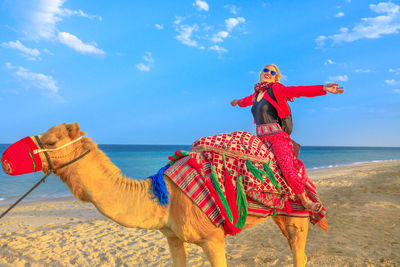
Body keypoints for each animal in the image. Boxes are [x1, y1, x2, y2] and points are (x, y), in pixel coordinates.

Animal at [18, 123, 318, 266]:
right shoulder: (172, 236)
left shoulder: (213, 238)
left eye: (51, 142)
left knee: (298, 252)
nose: (9, 160)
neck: (166, 199)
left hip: (298, 210)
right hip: (280, 214)